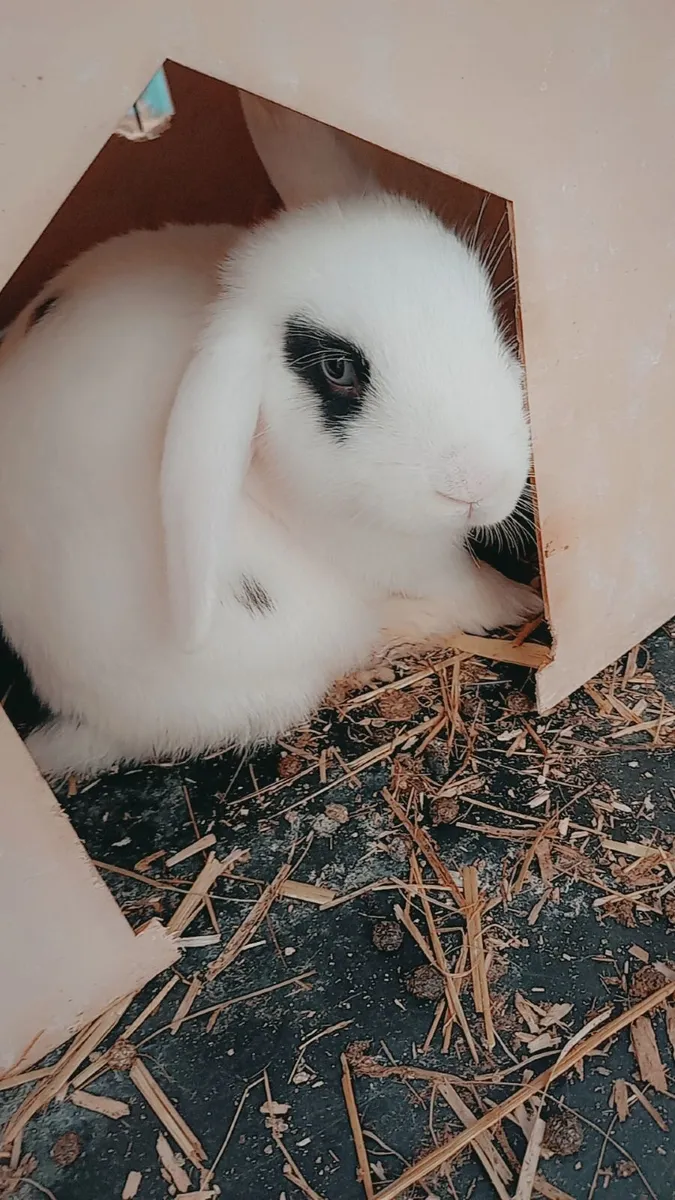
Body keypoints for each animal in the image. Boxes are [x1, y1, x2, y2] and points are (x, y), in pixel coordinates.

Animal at [0, 193, 541, 780]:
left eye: (491, 321)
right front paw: (522, 603)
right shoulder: (414, 562)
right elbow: (468, 586)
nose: (479, 484)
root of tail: (89, 717)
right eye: (337, 369)